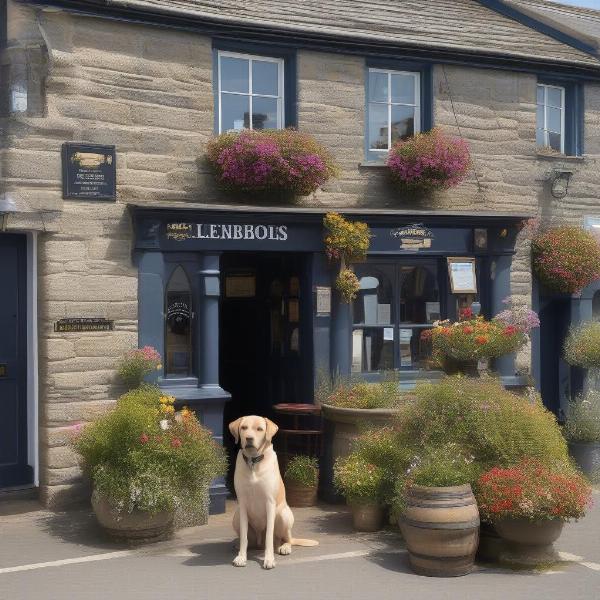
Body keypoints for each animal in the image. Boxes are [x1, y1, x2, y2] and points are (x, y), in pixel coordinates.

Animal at [229, 414, 318, 568]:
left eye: (259, 429)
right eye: (244, 427)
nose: (249, 438)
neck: (253, 462)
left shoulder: (269, 503)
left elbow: (269, 537)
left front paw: (269, 559)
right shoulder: (243, 503)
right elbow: (244, 537)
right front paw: (241, 557)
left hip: (284, 515)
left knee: (284, 539)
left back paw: (284, 547)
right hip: (236, 516)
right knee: (250, 540)